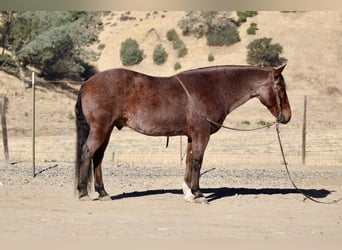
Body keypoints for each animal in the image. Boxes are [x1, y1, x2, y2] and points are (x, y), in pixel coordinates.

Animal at [75, 64, 292, 203]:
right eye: (281, 87)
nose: (287, 116)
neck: (212, 88)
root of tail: (88, 83)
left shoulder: (191, 136)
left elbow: (189, 161)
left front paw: (188, 193)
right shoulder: (201, 135)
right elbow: (197, 161)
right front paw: (198, 194)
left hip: (107, 130)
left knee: (98, 157)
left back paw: (103, 193)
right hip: (101, 129)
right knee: (88, 153)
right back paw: (83, 193)